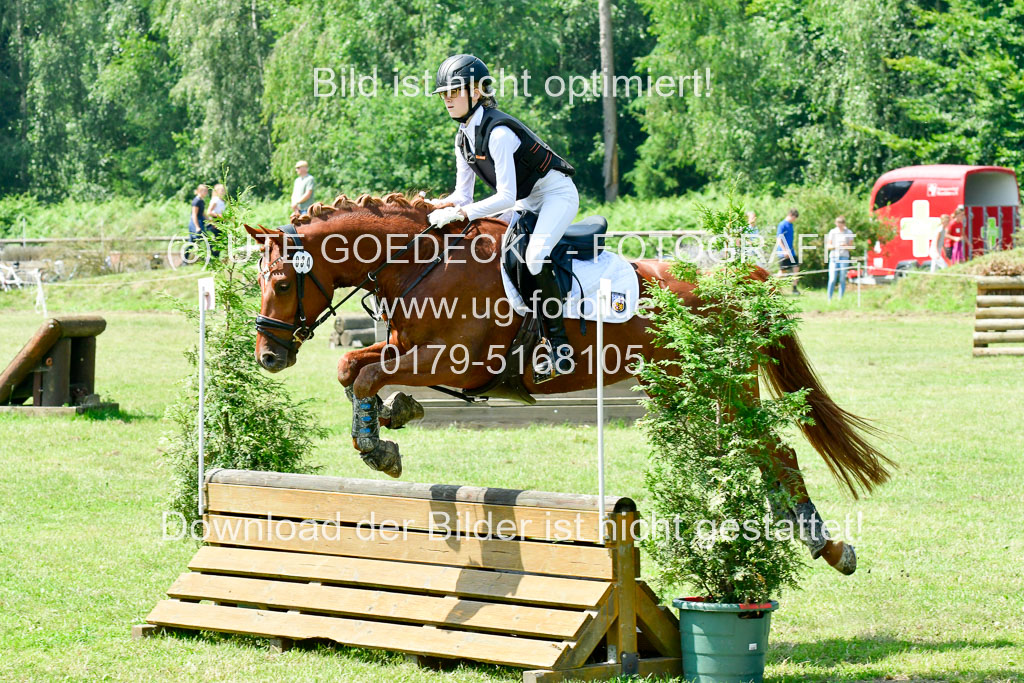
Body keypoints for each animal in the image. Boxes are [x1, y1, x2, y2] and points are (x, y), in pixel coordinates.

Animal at [245, 191, 894, 576]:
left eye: (280, 281)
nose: (269, 356)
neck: (422, 262)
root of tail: (734, 277)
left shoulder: (457, 361)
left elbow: (366, 371)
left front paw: (381, 443)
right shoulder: (409, 348)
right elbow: (354, 368)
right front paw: (393, 420)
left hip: (720, 385)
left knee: (774, 448)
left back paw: (826, 544)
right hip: (688, 386)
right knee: (756, 452)